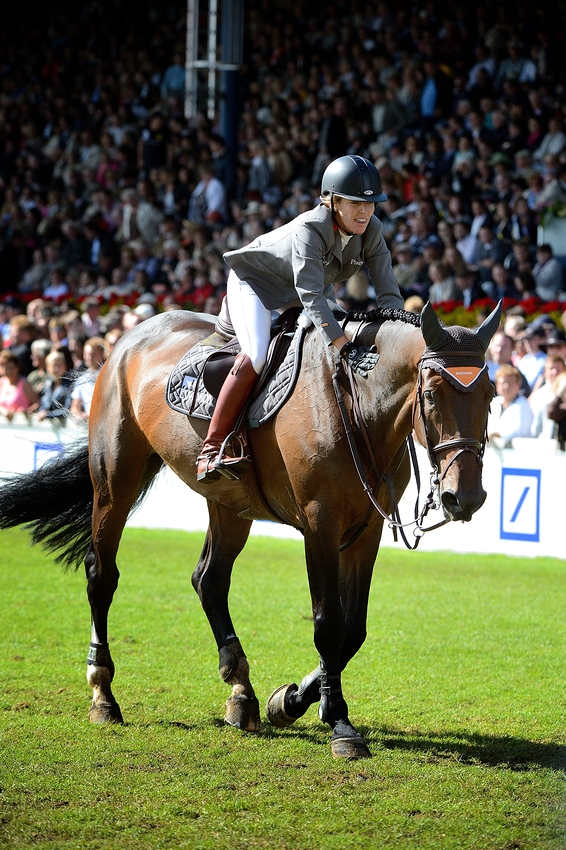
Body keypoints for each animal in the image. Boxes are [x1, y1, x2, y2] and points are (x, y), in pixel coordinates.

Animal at [0, 298, 502, 756]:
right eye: (432, 394)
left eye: (491, 395)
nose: (465, 497)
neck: (358, 406)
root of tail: (129, 337)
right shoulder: (319, 524)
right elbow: (328, 624)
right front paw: (338, 721)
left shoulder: (366, 530)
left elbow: (352, 629)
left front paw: (294, 700)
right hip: (115, 478)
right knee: (102, 575)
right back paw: (103, 693)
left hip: (230, 504)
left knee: (209, 579)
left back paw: (241, 692)